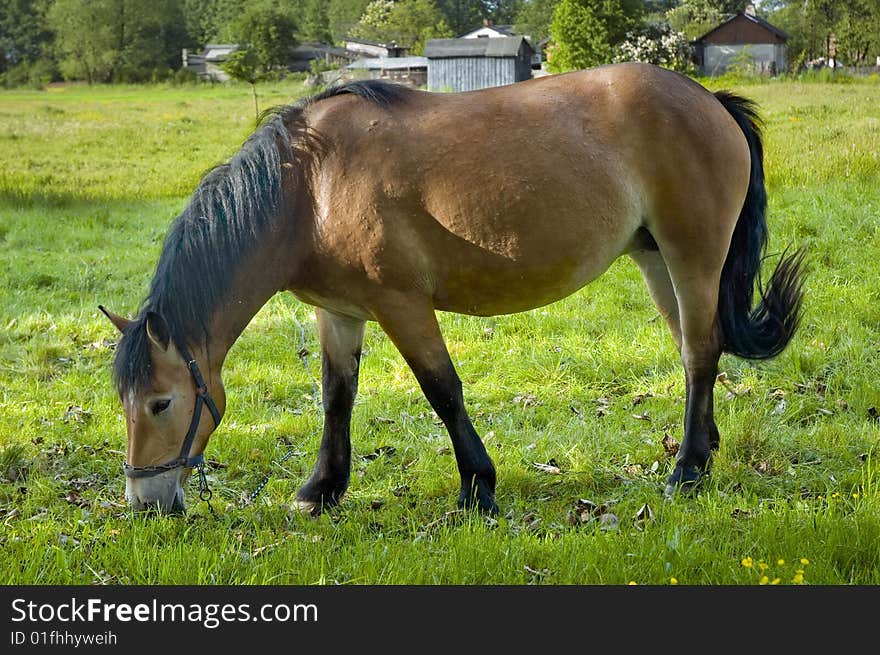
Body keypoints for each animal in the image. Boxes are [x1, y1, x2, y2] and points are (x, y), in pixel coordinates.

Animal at [101, 62, 804, 512]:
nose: (144, 502)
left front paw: (478, 488)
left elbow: (442, 390)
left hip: (693, 258)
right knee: (695, 352)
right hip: (657, 262)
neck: (310, 190)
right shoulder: (340, 313)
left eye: (161, 403)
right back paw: (703, 451)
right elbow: (336, 398)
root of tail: (709, 99)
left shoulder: (402, 305)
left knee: (700, 353)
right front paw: (321, 490)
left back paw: (686, 471)